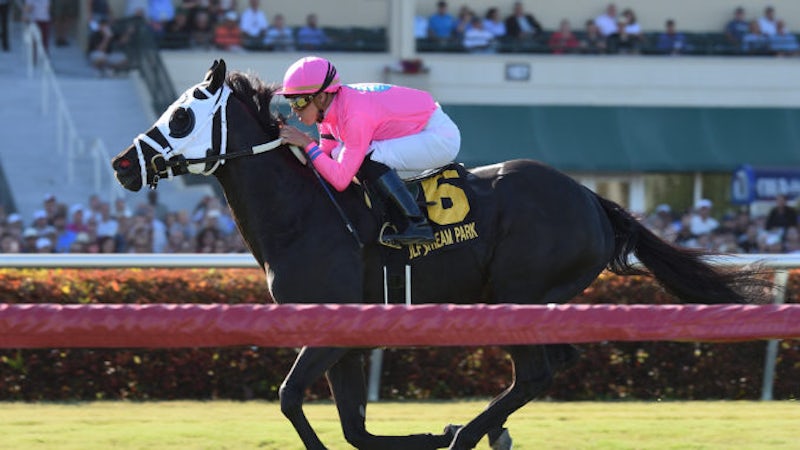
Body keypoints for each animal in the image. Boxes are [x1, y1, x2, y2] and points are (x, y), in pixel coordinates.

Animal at [111, 60, 768, 450]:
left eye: (182, 114)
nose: (121, 165)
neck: (303, 214)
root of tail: (591, 199)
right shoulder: (346, 337)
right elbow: (353, 428)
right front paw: (428, 431)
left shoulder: (329, 329)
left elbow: (292, 399)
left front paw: (439, 431)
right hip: (532, 301)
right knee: (555, 363)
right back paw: (483, 431)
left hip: (516, 295)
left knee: (535, 371)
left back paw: (467, 435)